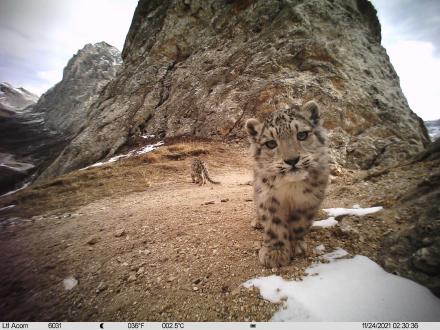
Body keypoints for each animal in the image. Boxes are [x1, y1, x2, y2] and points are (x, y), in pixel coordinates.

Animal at [246, 100, 328, 268]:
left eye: (302, 135)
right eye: (271, 144)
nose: (292, 160)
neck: (291, 188)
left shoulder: (309, 200)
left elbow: (299, 224)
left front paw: (296, 246)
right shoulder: (268, 198)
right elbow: (274, 224)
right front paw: (275, 253)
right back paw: (257, 221)